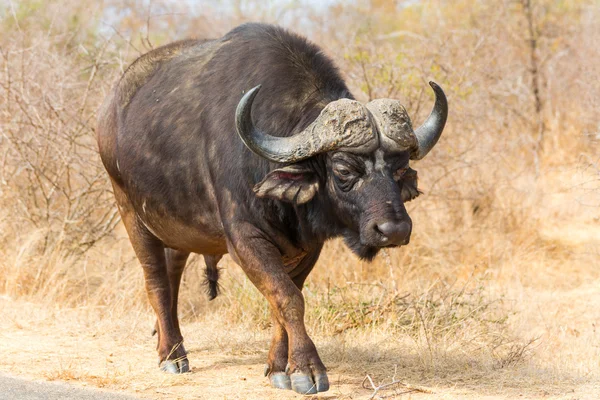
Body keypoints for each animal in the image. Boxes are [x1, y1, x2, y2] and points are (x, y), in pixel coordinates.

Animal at [97, 23, 446, 396]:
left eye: (400, 168)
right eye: (343, 169)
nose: (394, 230)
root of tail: (110, 107)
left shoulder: (308, 246)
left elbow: (286, 299)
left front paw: (280, 367)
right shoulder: (245, 238)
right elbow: (287, 297)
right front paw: (308, 369)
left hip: (179, 228)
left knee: (173, 272)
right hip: (130, 211)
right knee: (156, 281)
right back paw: (171, 355)